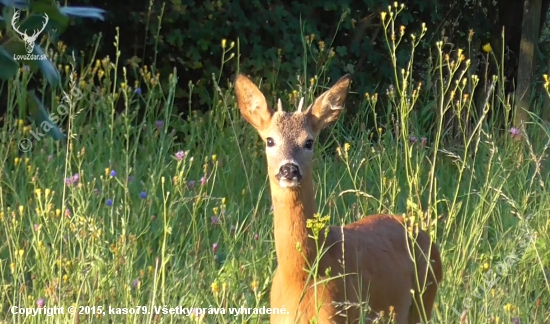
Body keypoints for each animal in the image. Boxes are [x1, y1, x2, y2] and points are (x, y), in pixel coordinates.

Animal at [236, 74, 444, 324]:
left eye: (309, 142)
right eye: (269, 140)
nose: (289, 170)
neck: (301, 275)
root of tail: (422, 232)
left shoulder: (338, 315)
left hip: (424, 298)